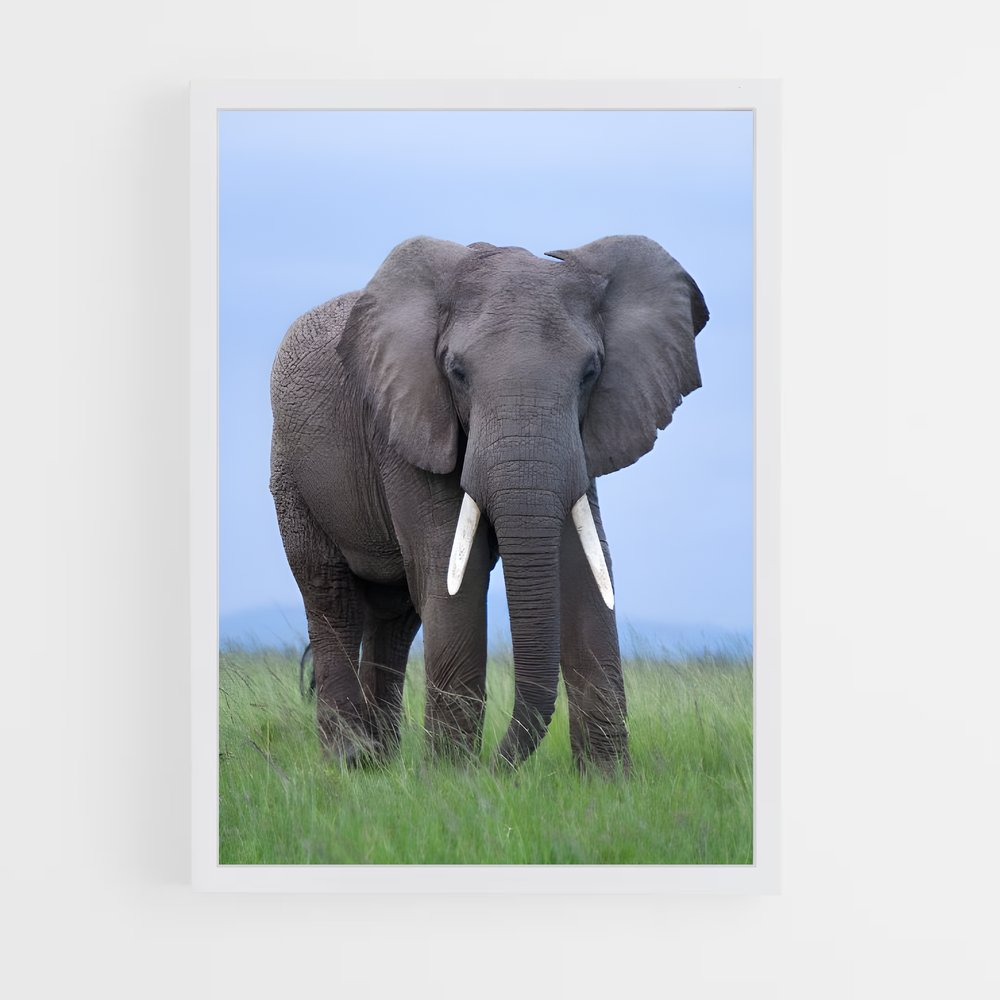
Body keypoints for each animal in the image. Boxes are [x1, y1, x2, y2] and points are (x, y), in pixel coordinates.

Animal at [269, 235, 708, 771]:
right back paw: (350, 761)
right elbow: (452, 565)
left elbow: (584, 566)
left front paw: (608, 781)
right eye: (457, 373)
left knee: (394, 616)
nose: (496, 768)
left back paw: (381, 763)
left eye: (590, 373)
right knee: (331, 595)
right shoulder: (405, 424)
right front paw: (450, 779)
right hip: (291, 472)